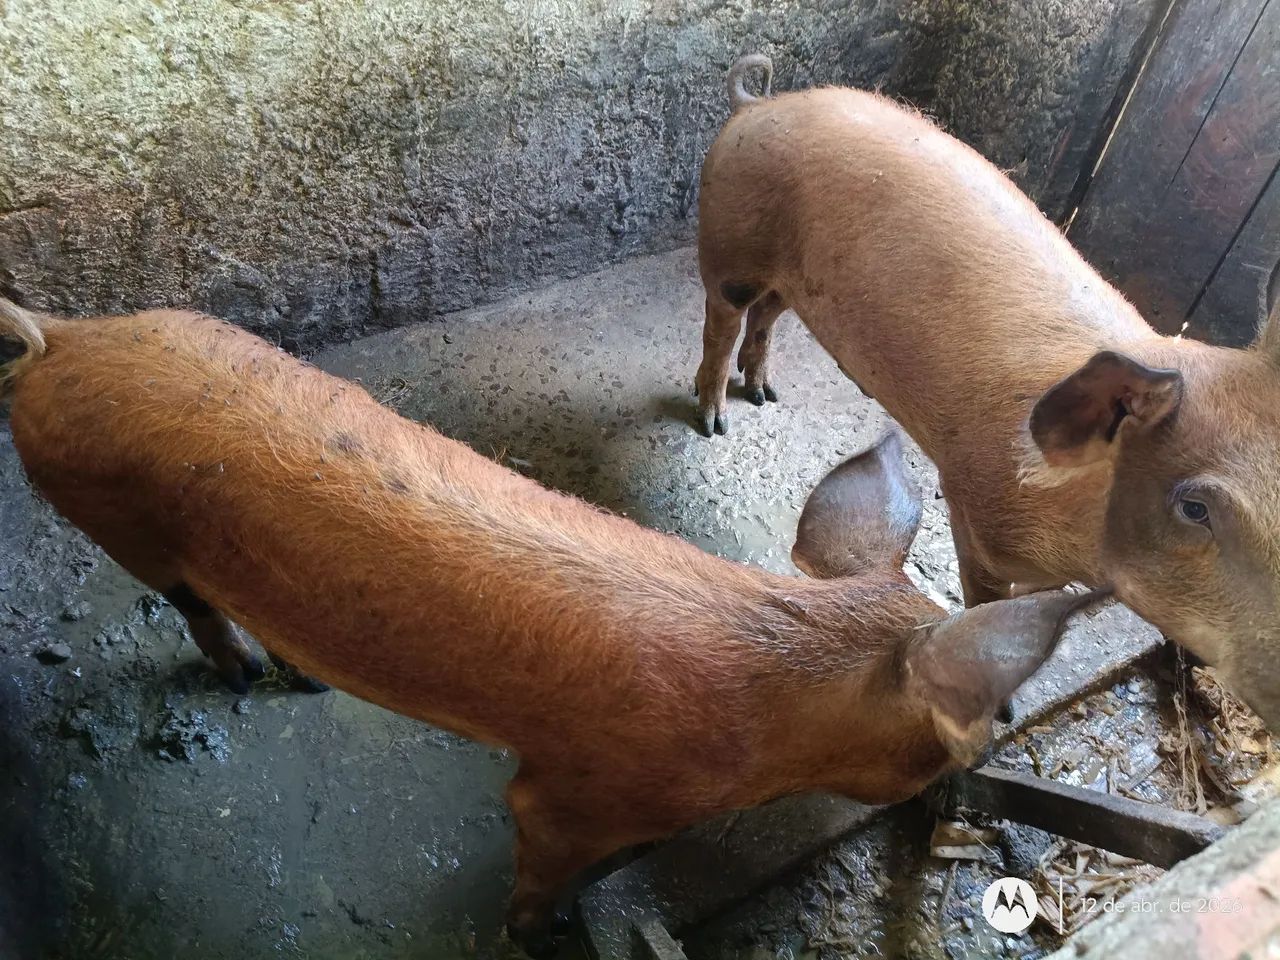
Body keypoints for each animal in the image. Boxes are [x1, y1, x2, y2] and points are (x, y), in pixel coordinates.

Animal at [0, 298, 1100, 954]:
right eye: (989, 714)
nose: (994, 753)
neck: (779, 704)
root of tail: (64, 337)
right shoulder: (577, 790)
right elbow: (539, 851)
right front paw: (536, 927)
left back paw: (297, 677)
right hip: (110, 515)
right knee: (189, 606)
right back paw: (244, 679)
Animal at [694, 54, 1280, 730]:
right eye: (1195, 509)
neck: (1074, 531)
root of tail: (757, 104)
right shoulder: (976, 512)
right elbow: (984, 600)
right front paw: (1004, 709)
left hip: (792, 279)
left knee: (767, 313)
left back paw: (765, 394)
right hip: (730, 243)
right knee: (724, 319)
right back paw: (713, 421)